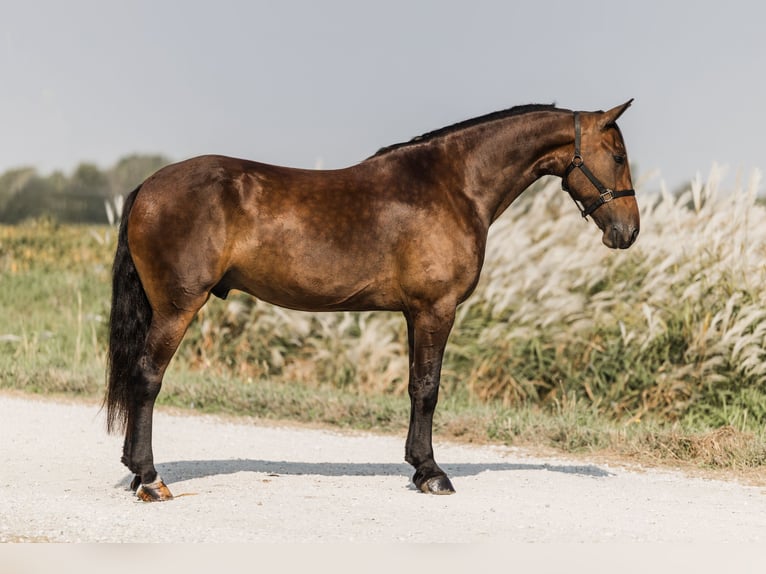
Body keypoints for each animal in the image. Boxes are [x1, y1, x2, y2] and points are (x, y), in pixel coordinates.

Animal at [105, 101, 640, 501]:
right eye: (617, 156)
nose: (628, 231)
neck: (453, 185)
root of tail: (149, 186)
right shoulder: (436, 309)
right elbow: (428, 389)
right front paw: (432, 473)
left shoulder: (413, 314)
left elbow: (414, 387)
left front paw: (418, 466)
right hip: (177, 308)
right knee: (146, 378)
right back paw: (149, 479)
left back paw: (136, 471)